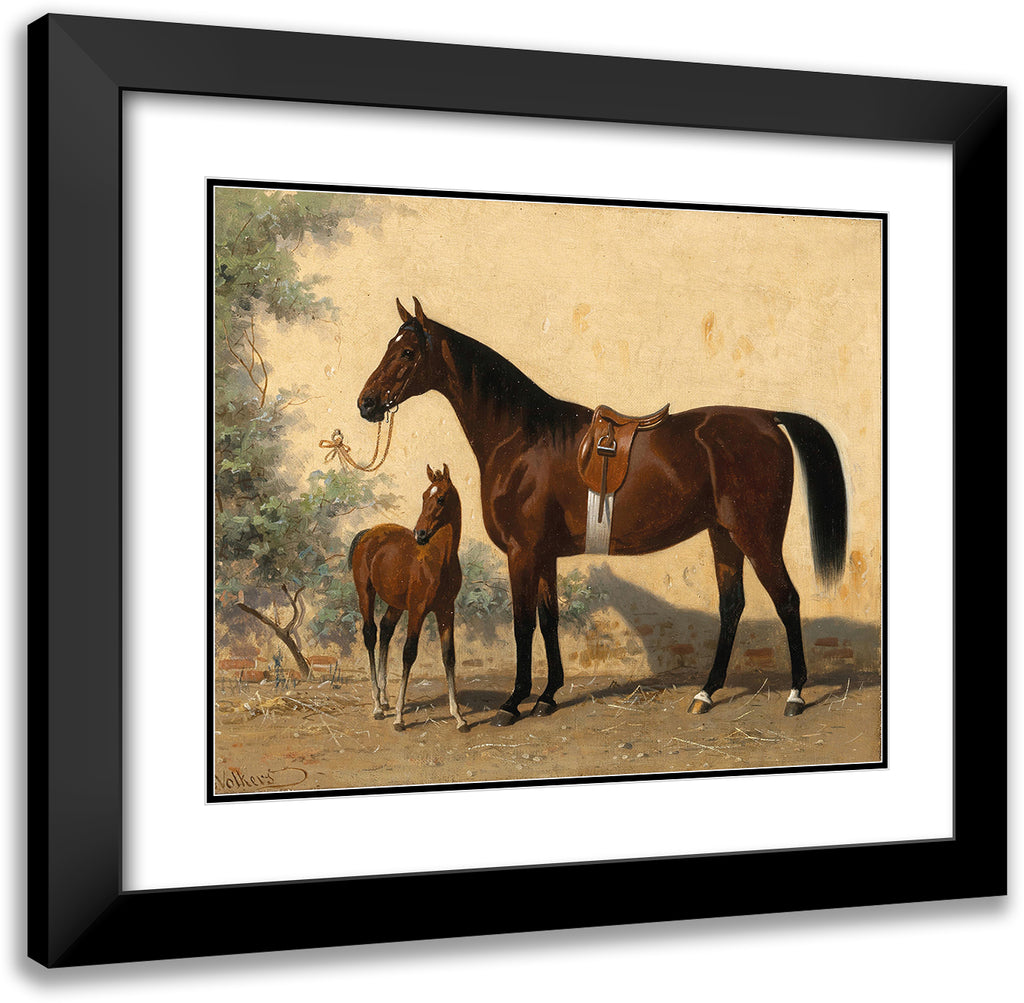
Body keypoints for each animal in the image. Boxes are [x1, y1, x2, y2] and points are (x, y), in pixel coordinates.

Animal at [347, 463, 470, 732]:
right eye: (424, 496)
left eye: (440, 498)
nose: (420, 534)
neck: (438, 560)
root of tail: (368, 533)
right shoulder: (418, 610)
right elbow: (409, 653)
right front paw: (399, 717)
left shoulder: (446, 610)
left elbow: (449, 656)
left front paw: (458, 716)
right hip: (366, 594)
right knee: (370, 634)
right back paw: (377, 705)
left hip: (395, 603)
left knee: (385, 630)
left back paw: (384, 699)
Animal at [358, 298, 847, 727]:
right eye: (387, 346)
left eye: (406, 351)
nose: (366, 403)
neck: (523, 439)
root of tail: (767, 418)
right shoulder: (545, 555)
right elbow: (548, 620)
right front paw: (547, 696)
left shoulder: (522, 552)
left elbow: (522, 625)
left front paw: (513, 702)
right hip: (724, 535)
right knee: (732, 607)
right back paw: (705, 694)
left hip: (758, 537)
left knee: (787, 600)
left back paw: (795, 695)